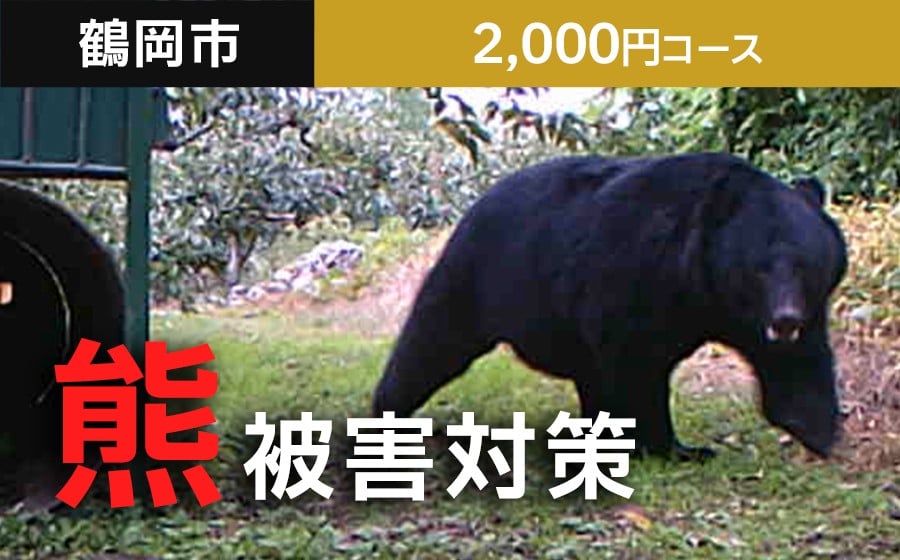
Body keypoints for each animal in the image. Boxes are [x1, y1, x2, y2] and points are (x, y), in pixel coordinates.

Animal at [371, 152, 848, 460]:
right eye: (760, 269)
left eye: (807, 266)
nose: (785, 319)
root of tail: (478, 201)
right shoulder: (631, 277)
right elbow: (636, 365)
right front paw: (662, 445)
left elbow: (799, 361)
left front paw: (817, 429)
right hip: (480, 274)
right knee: (433, 340)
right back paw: (387, 412)